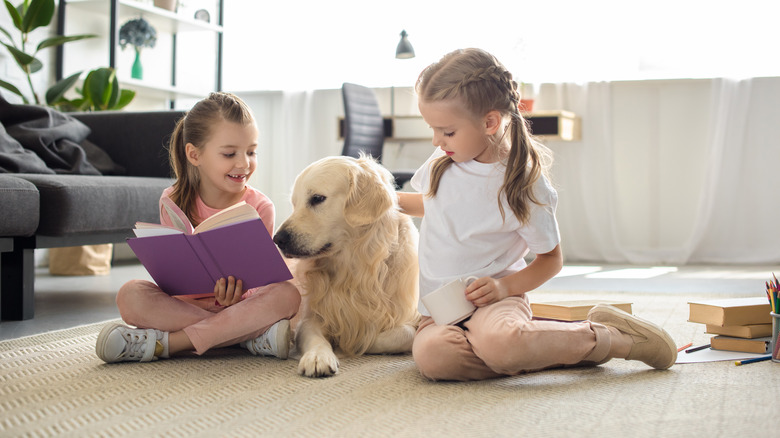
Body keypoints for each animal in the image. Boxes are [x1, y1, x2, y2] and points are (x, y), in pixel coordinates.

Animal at [274, 156, 420, 378]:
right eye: (294, 204)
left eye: (317, 198)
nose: (277, 239)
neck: (352, 267)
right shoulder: (309, 319)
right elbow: (315, 337)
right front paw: (318, 356)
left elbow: (404, 333)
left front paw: (352, 343)